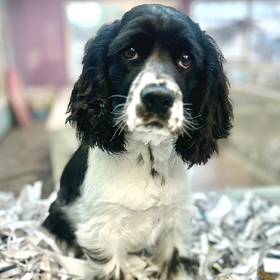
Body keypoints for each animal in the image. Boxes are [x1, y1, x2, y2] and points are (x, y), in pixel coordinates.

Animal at [43, 4, 232, 280]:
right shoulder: (101, 231)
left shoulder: (176, 220)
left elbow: (175, 263)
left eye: (186, 59)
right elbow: (112, 267)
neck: (147, 155)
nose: (158, 98)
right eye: (130, 52)